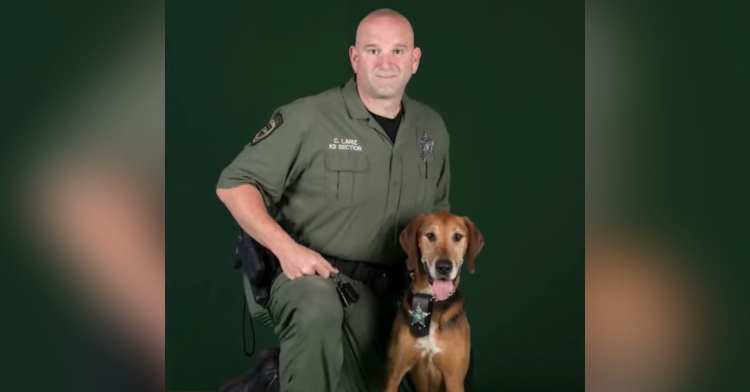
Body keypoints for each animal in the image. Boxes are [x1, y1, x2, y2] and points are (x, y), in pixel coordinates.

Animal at [384, 211, 484, 392]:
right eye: (430, 235)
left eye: (458, 236)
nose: (444, 267)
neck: (433, 302)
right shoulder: (393, 374)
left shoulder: (454, 379)